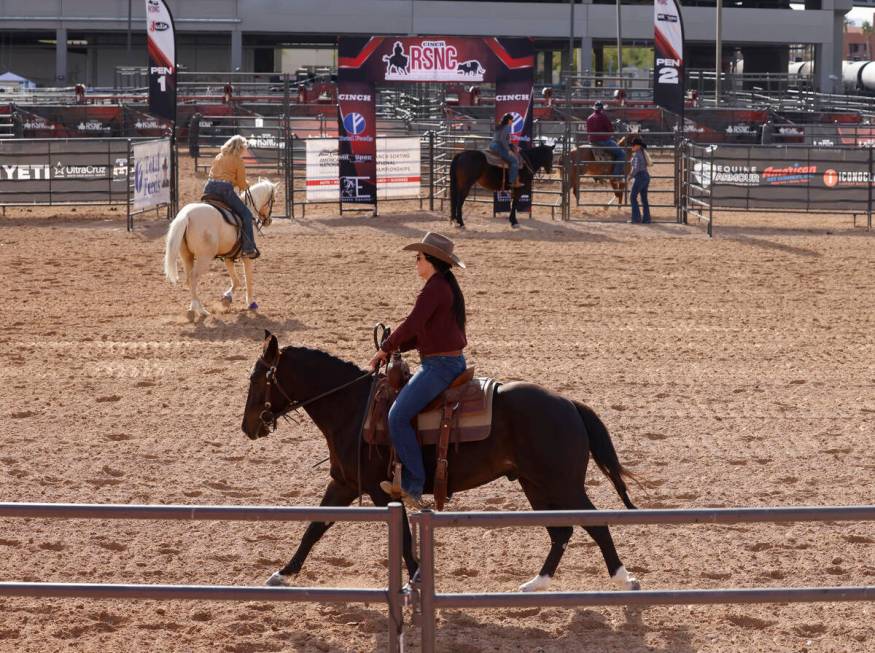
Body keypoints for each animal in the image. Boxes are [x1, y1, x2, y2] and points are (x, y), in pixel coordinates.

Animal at [163, 178, 276, 320]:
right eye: (273, 200)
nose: (268, 221)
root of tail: (187, 215)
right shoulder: (247, 257)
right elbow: (248, 279)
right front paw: (251, 303)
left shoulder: (228, 256)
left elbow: (236, 280)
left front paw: (227, 298)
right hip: (204, 258)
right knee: (193, 278)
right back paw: (201, 310)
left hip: (186, 255)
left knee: (189, 280)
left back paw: (192, 308)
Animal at [241, 334, 644, 592]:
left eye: (257, 377)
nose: (248, 427)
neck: (353, 407)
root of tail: (568, 404)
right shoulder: (344, 484)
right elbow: (315, 527)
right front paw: (282, 573)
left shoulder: (379, 492)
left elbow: (404, 539)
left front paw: (417, 579)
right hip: (536, 485)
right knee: (561, 532)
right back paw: (535, 584)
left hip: (563, 484)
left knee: (593, 524)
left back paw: (623, 578)